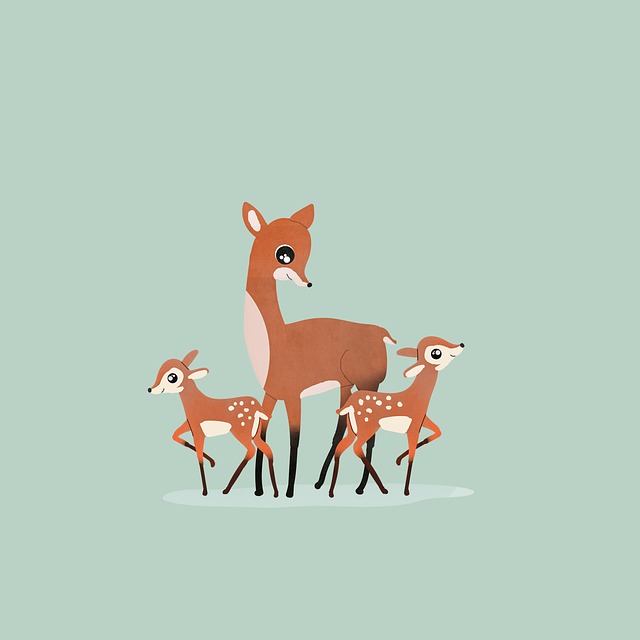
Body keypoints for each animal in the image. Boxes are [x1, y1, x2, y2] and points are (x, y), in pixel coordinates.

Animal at [148, 349, 279, 497]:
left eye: (172, 377)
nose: (150, 389)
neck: (195, 403)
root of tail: (258, 409)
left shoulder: (198, 431)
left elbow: (199, 458)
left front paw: (205, 491)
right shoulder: (190, 425)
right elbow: (175, 436)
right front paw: (212, 462)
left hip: (241, 431)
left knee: (251, 450)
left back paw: (226, 489)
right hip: (255, 433)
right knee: (268, 450)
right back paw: (275, 492)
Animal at [242, 202, 396, 498]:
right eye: (285, 253)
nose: (308, 283)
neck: (276, 341)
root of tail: (380, 332)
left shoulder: (293, 396)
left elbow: (294, 439)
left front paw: (289, 492)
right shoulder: (270, 394)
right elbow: (262, 433)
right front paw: (259, 490)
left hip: (368, 386)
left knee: (369, 434)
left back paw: (360, 488)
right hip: (347, 387)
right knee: (340, 430)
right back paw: (320, 483)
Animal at [328, 337, 464, 497]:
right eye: (436, 353)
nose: (461, 344)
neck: (417, 397)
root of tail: (348, 404)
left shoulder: (423, 421)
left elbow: (437, 432)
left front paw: (398, 460)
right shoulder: (413, 427)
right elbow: (412, 456)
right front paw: (406, 491)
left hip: (353, 428)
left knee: (341, 448)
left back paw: (332, 491)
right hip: (368, 425)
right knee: (356, 448)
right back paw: (381, 489)